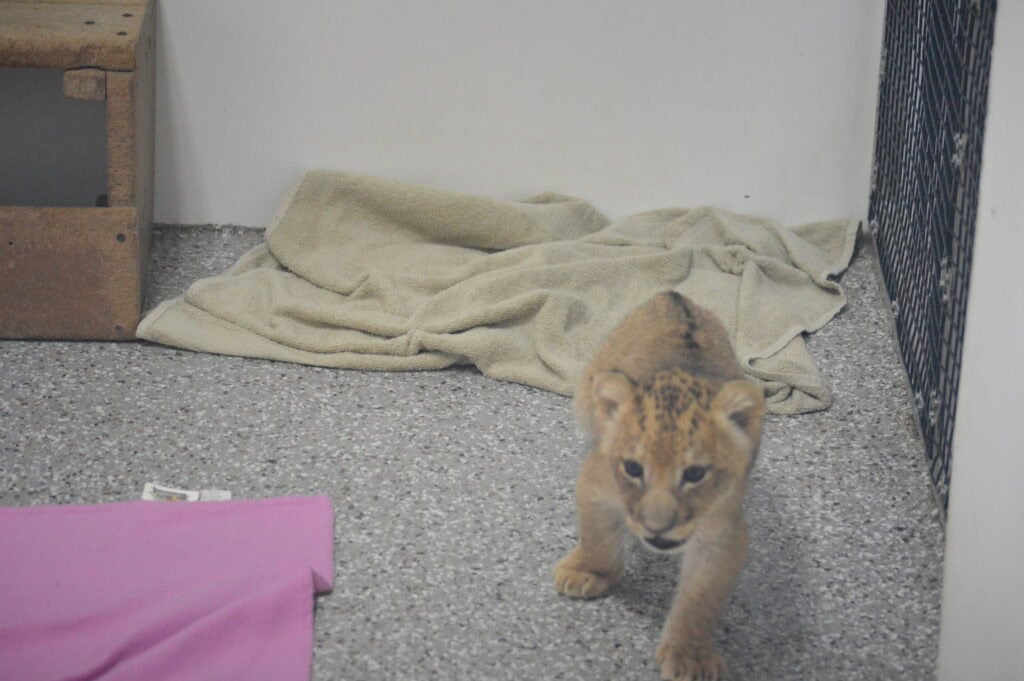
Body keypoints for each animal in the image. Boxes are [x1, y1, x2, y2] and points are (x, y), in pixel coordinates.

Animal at [554, 291, 765, 681]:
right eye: (633, 469)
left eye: (695, 474)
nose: (656, 529)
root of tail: (674, 295)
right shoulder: (595, 483)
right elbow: (598, 540)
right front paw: (588, 572)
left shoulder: (723, 532)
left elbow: (700, 600)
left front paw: (690, 657)